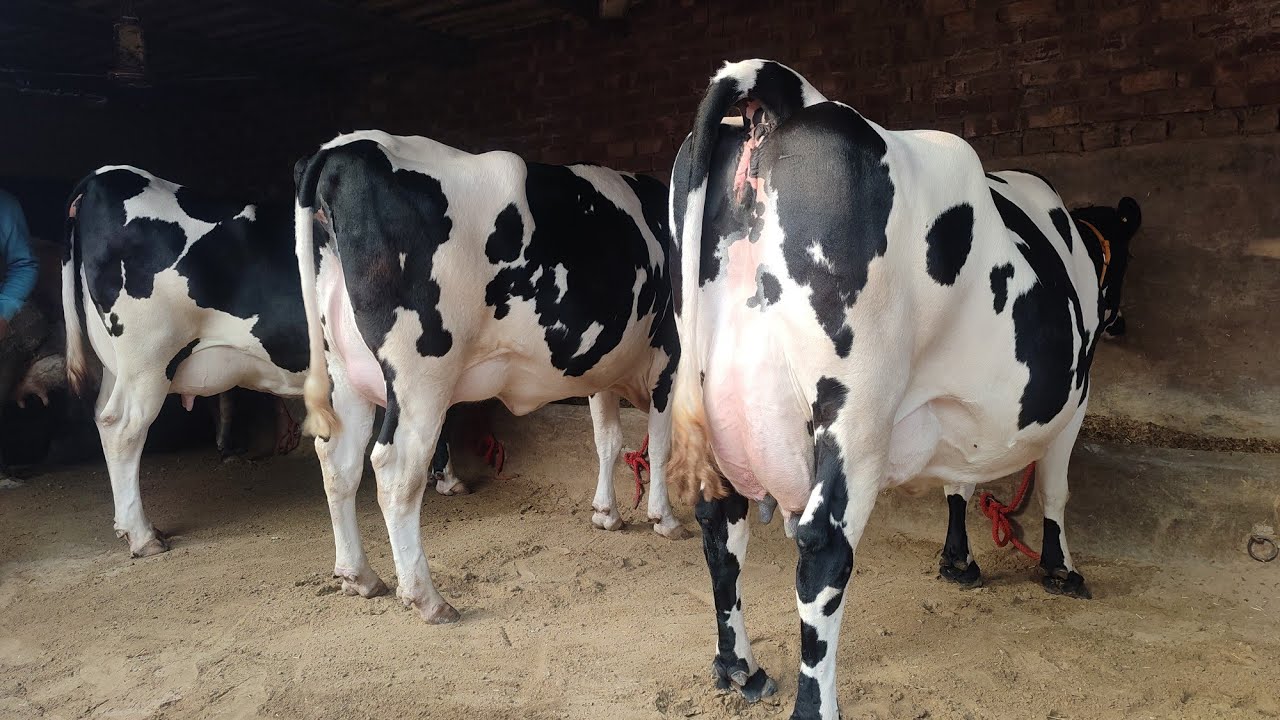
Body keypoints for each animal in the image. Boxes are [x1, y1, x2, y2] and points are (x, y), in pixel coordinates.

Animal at [60, 166, 471, 557]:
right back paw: (143, 536)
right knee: (124, 429)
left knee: (104, 418)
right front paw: (449, 478)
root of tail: (104, 176)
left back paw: (124, 525)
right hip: (148, 358)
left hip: (118, 366)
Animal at [292, 130, 682, 622]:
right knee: (396, 471)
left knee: (338, 463)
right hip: (422, 376)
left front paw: (606, 513)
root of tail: (343, 148)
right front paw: (664, 518)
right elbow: (662, 446)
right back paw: (426, 597)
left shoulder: (598, 367)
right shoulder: (671, 357)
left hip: (345, 374)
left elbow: (607, 440)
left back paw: (358, 576)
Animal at [666, 60, 1141, 719]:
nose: (1119, 320)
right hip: (857, 410)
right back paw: (816, 705)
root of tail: (782, 99)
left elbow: (960, 482)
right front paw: (1061, 570)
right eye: (1123, 262)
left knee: (720, 521)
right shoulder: (1078, 399)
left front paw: (958, 560)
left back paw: (743, 669)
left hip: (717, 401)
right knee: (823, 548)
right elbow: (1055, 488)